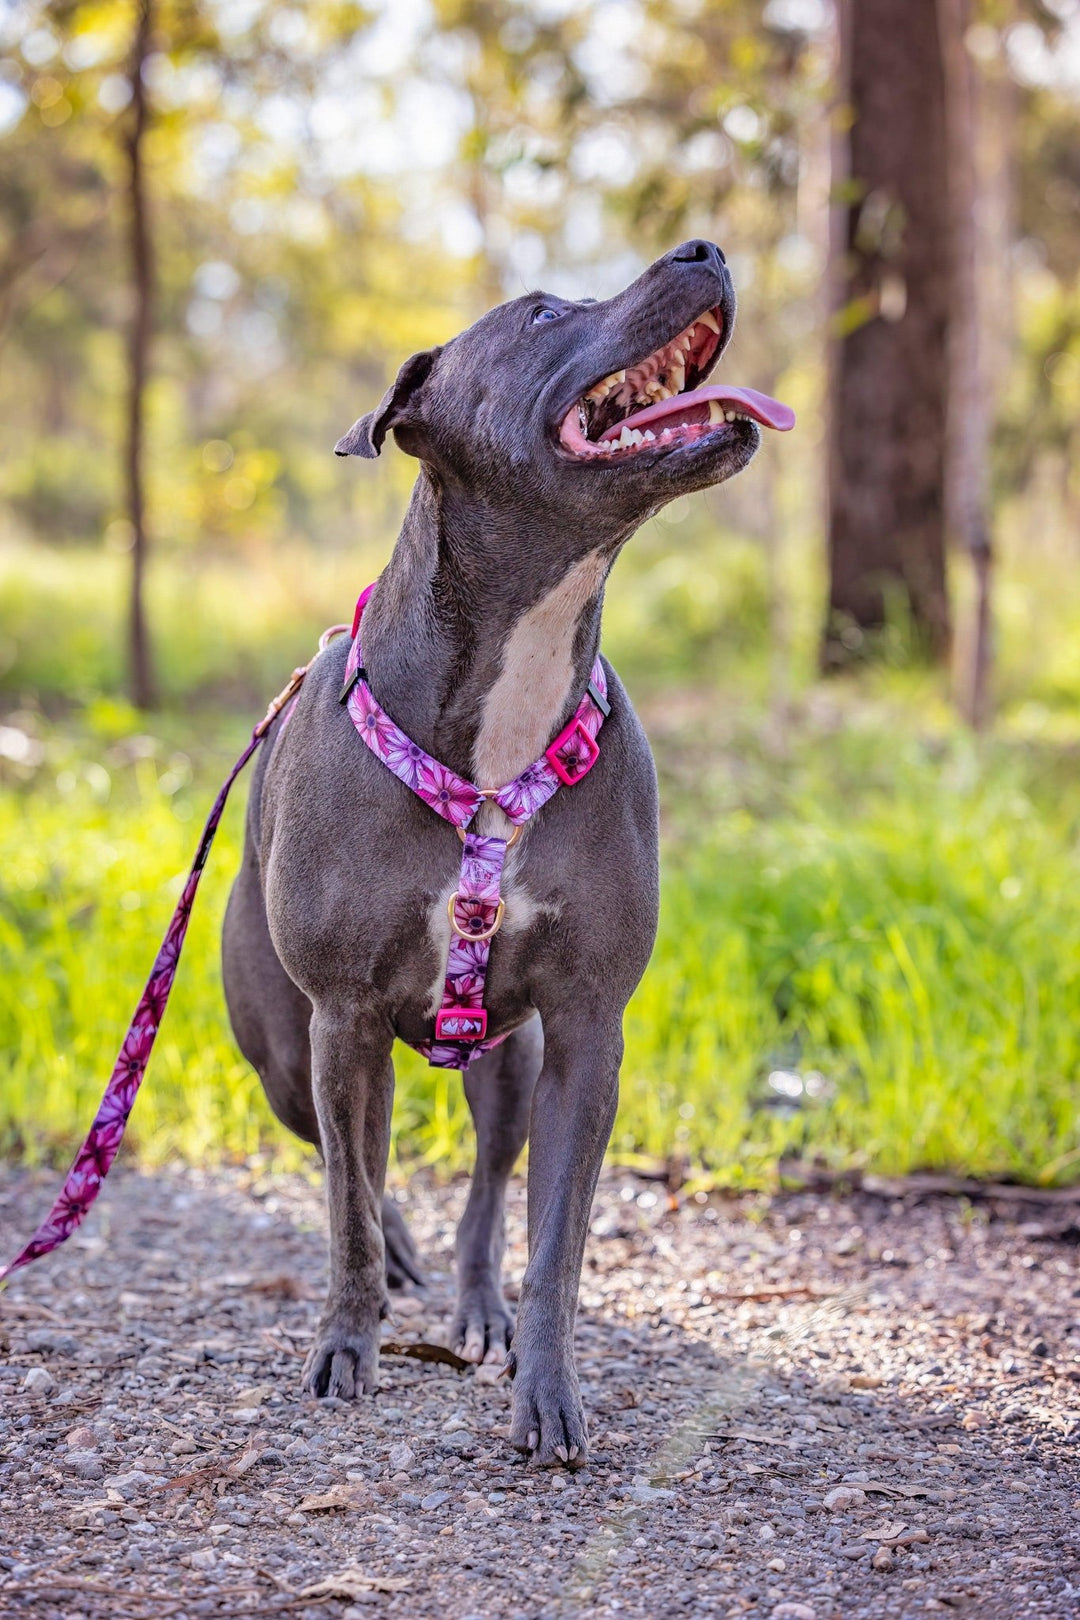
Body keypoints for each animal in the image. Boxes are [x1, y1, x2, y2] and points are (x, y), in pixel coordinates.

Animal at [221, 236, 777, 1470]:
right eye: (540, 314)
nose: (706, 245)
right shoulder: (341, 1018)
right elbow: (345, 1204)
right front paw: (348, 1343)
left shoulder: (584, 1031)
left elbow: (556, 1239)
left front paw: (550, 1390)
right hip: (285, 1053)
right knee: (348, 1163)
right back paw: (398, 1262)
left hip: (506, 1065)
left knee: (482, 1190)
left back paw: (477, 1306)